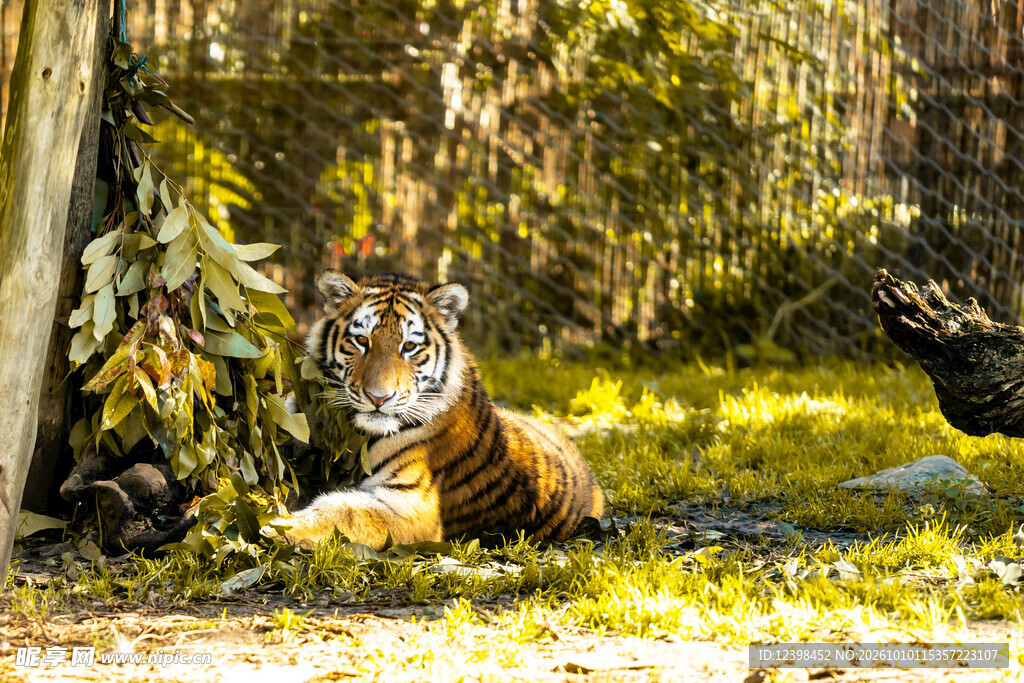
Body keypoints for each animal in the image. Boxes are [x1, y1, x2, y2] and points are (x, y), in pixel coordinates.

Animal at [266, 270, 604, 550]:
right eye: (361, 340)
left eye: (409, 347)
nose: (378, 397)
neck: (353, 433)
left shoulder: (411, 505)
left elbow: (344, 512)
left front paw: (279, 527)